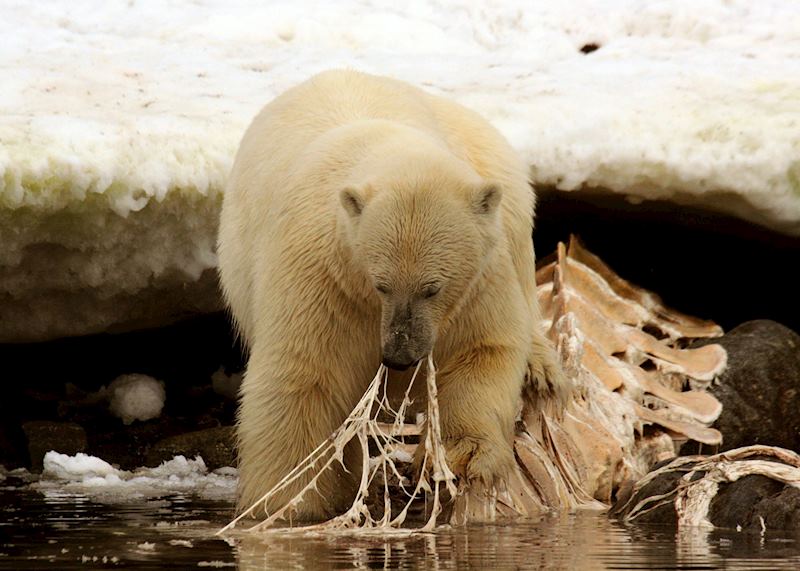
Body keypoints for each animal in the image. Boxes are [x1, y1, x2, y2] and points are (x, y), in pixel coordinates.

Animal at [217, 69, 565, 519]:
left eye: (432, 288)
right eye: (380, 284)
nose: (399, 357)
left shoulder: (478, 279)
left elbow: (479, 346)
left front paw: (460, 456)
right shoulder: (321, 274)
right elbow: (301, 377)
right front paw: (283, 504)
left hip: (492, 165)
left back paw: (541, 367)